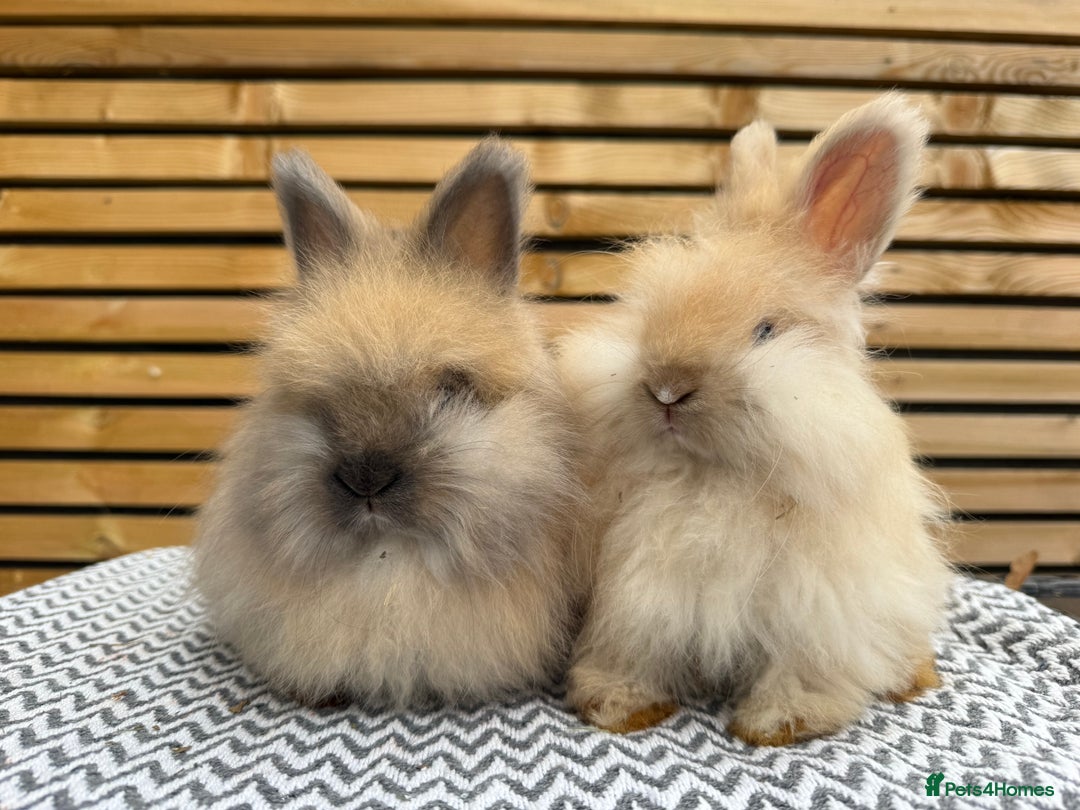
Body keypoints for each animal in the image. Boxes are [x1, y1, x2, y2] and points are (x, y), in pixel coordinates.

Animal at [559, 95, 953, 744]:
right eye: (647, 310)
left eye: (766, 331)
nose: (667, 388)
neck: (711, 481)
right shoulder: (637, 594)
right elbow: (634, 651)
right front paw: (617, 705)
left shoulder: (819, 605)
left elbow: (805, 667)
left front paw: (780, 722)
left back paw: (913, 678)